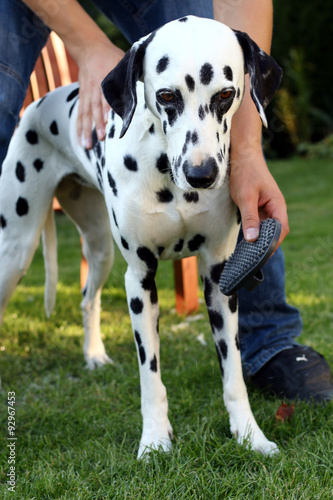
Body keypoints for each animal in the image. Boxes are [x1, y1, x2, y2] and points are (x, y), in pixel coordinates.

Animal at [0, 17, 282, 458]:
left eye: (225, 94)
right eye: (166, 95)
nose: (201, 174)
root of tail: (42, 100)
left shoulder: (220, 278)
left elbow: (233, 373)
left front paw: (250, 435)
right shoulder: (140, 280)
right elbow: (151, 377)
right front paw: (154, 441)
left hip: (99, 249)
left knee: (88, 298)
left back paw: (94, 355)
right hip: (15, 251)